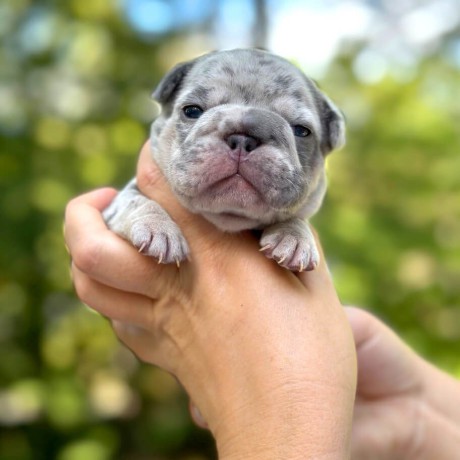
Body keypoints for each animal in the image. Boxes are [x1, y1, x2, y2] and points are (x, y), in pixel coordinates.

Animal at [101, 49, 344, 274]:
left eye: (301, 131)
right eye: (192, 111)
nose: (243, 138)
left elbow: (298, 218)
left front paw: (294, 236)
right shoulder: (115, 205)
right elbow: (135, 201)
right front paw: (158, 228)